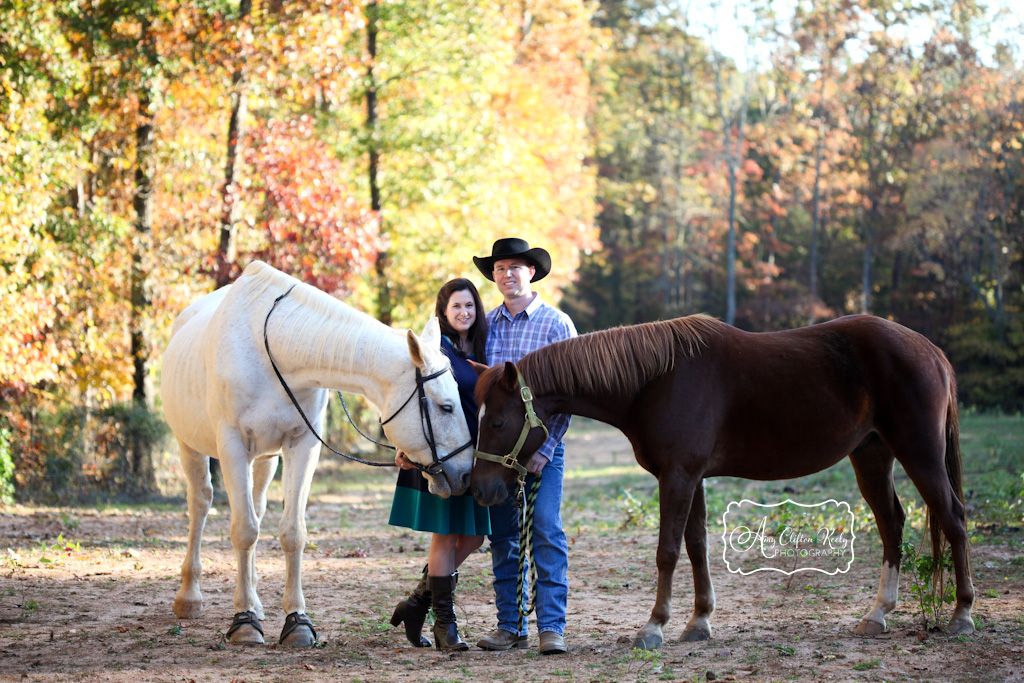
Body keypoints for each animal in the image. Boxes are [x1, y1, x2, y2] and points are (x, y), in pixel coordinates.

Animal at [160, 260, 475, 647]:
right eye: (446, 407)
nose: (466, 473)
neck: (274, 349)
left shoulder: (302, 446)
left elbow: (292, 532)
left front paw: (296, 621)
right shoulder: (231, 445)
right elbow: (243, 530)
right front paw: (244, 622)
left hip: (264, 458)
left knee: (256, 507)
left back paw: (255, 601)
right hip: (189, 444)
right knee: (201, 504)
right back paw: (190, 598)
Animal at [471, 313, 974, 647]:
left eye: (496, 421)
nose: (479, 489)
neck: (655, 380)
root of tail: (930, 351)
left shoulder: (677, 477)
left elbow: (668, 551)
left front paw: (654, 626)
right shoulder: (692, 477)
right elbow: (697, 547)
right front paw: (698, 623)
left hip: (920, 454)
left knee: (952, 518)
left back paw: (962, 614)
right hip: (872, 455)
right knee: (892, 523)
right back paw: (877, 615)